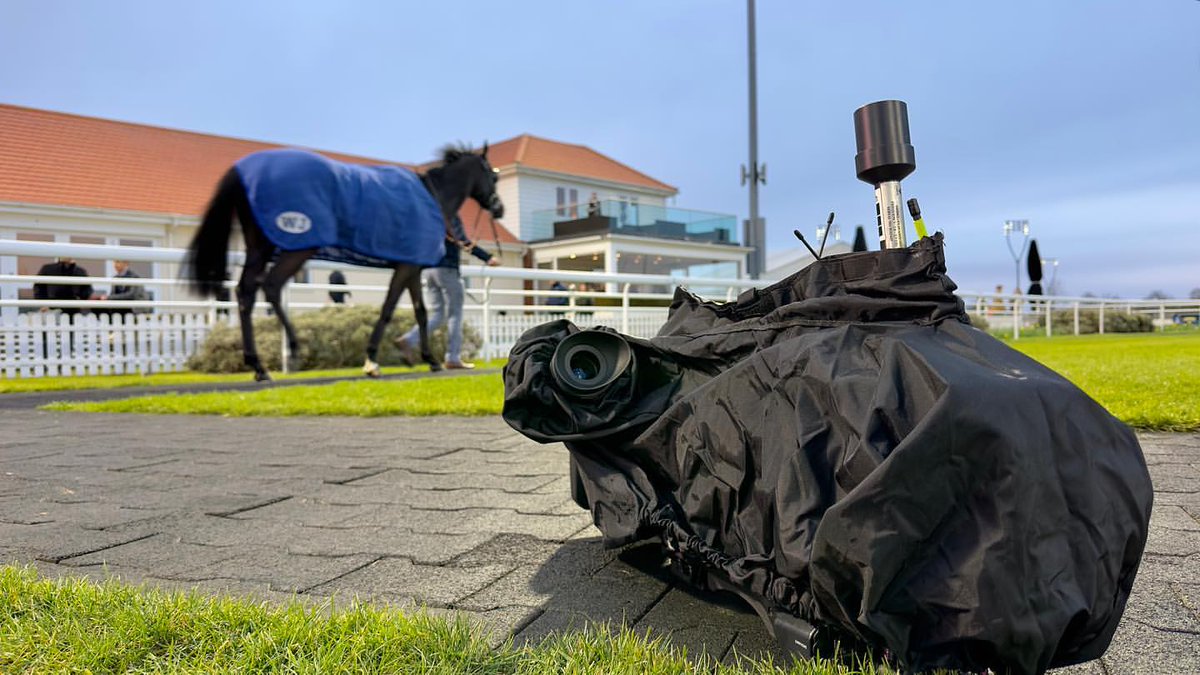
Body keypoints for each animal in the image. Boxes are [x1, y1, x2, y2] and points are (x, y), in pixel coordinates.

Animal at [185, 144, 504, 382]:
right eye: (493, 175)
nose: (499, 208)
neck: (432, 196)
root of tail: (244, 171)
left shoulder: (412, 267)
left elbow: (421, 312)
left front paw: (430, 359)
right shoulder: (406, 267)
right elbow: (388, 309)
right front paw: (372, 361)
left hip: (259, 247)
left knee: (245, 292)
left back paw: (258, 367)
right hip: (296, 245)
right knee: (272, 286)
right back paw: (294, 349)